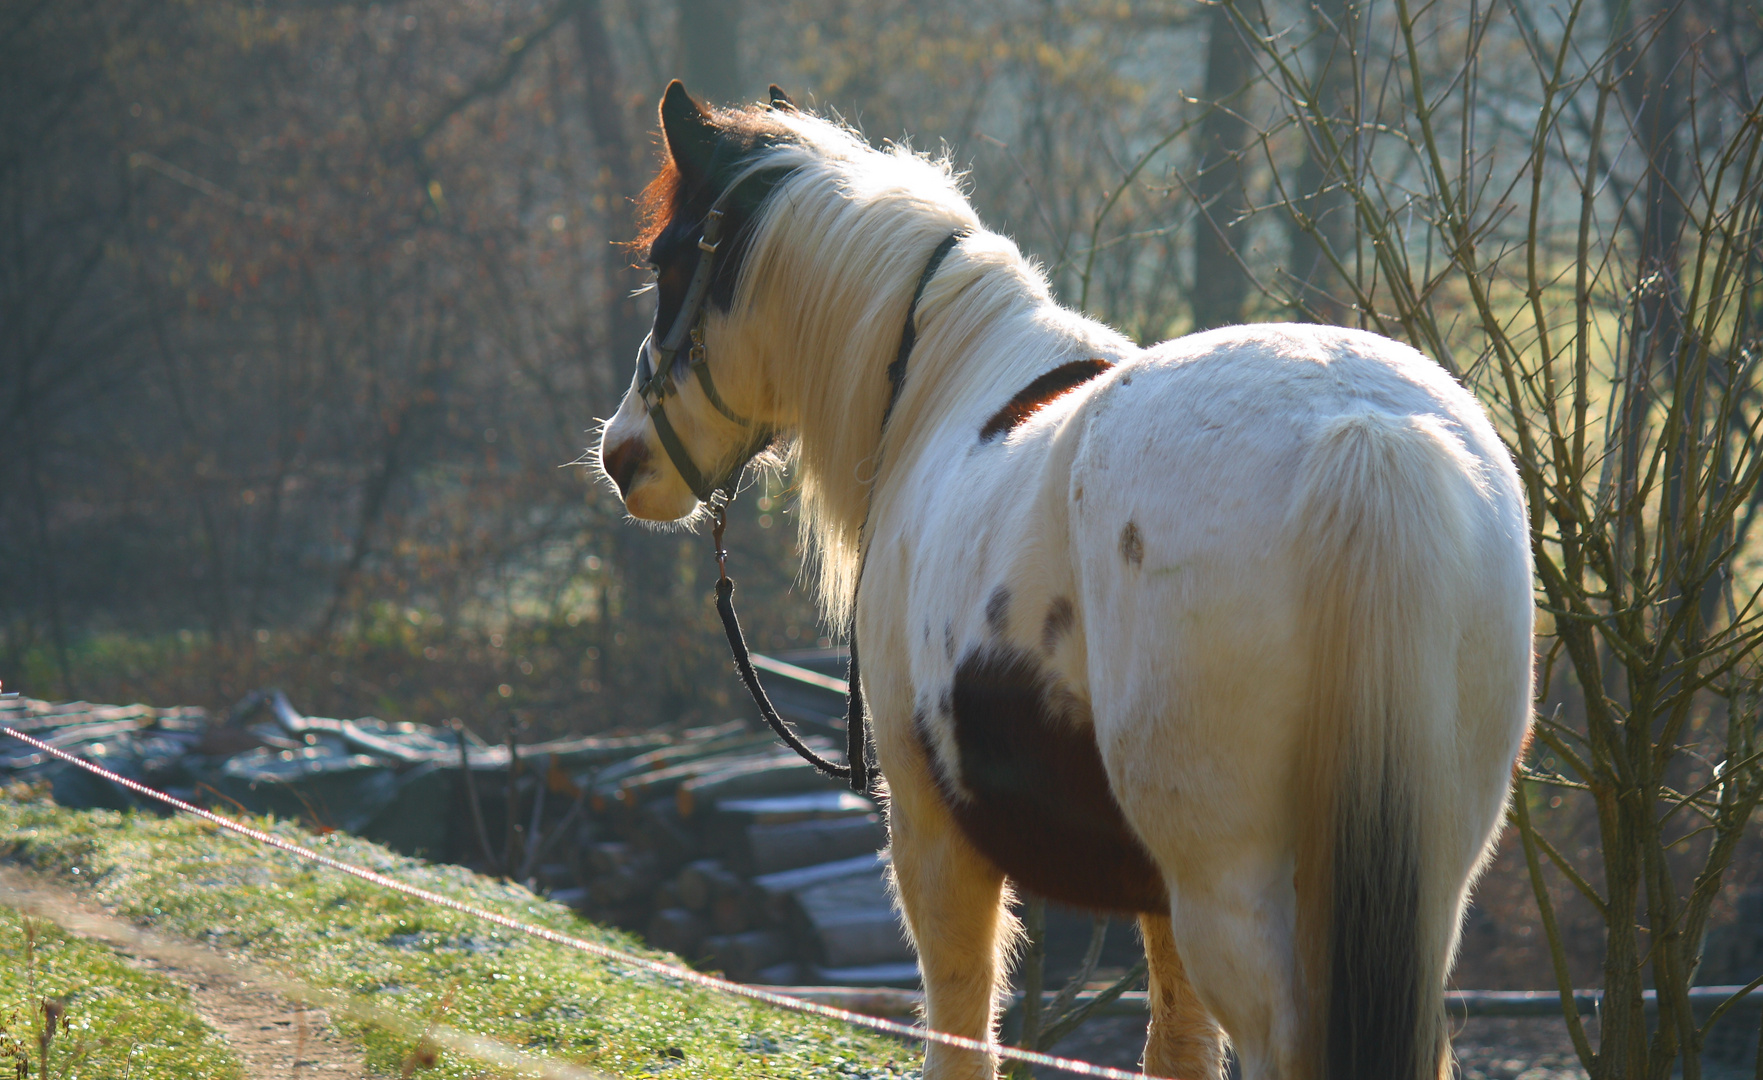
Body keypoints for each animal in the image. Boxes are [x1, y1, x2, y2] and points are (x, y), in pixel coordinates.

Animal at [592, 77, 1530, 1078]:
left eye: (669, 262)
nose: (623, 456)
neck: (933, 387)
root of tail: (1362, 432)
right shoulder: (1154, 887)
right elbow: (1175, 1044)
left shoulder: (932, 831)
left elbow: (960, 1019)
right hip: (1417, 890)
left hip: (1233, 887)